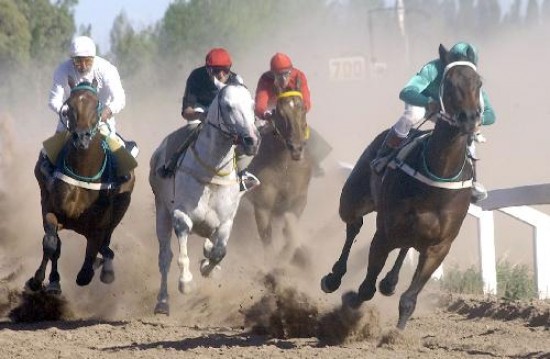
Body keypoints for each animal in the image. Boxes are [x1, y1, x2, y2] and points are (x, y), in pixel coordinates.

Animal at [26, 79, 136, 296]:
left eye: (97, 103)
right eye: (69, 105)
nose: (81, 137)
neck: (82, 171)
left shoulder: (99, 224)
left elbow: (88, 264)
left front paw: (94, 268)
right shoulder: (50, 208)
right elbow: (51, 244)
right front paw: (41, 280)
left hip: (122, 205)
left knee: (106, 243)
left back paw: (106, 267)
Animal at [150, 83, 262, 316]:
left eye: (252, 104)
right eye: (228, 106)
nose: (252, 140)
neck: (211, 172)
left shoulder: (226, 221)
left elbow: (219, 251)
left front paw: (208, 267)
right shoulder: (181, 214)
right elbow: (181, 250)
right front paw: (186, 282)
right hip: (162, 211)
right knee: (164, 257)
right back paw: (163, 302)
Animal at [247, 90, 312, 264]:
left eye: (303, 109)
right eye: (281, 113)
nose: (296, 148)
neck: (284, 168)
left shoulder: (300, 199)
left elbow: (289, 228)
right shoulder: (262, 205)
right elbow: (266, 235)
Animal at [322, 45, 486, 332]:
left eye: (478, 83)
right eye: (449, 83)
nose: (469, 118)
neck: (438, 176)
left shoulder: (439, 246)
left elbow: (409, 298)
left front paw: (397, 334)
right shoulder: (384, 234)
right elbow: (366, 289)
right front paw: (350, 302)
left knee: (405, 246)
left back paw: (389, 282)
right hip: (352, 200)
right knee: (353, 226)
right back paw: (334, 277)